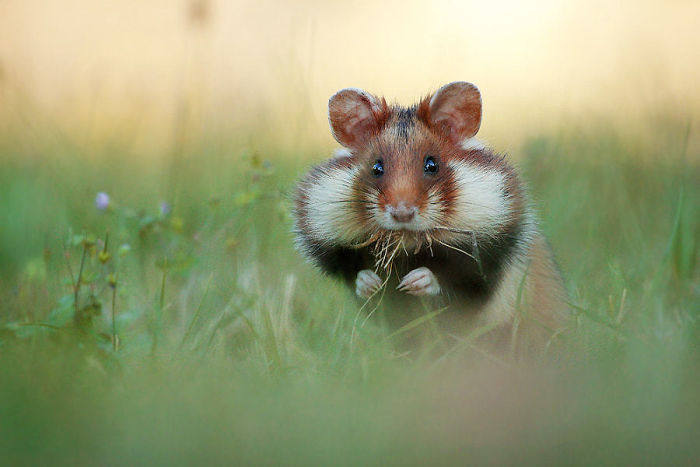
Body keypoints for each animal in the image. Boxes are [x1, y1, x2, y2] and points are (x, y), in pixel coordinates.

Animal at [293, 82, 567, 352]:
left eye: (432, 165)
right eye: (376, 167)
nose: (402, 213)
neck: (407, 248)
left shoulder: (487, 264)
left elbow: (454, 286)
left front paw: (415, 281)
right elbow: (359, 280)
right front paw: (371, 283)